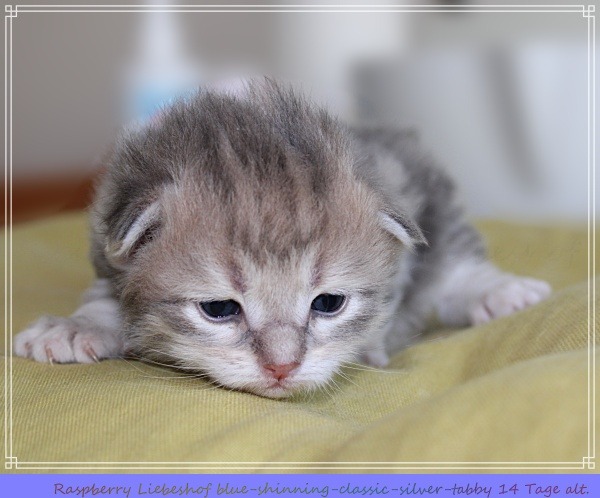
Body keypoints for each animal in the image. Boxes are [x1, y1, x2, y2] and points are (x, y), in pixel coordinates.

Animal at [14, 80, 551, 398]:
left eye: (328, 303)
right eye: (219, 309)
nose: (282, 368)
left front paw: (370, 345)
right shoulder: (107, 241)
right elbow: (104, 296)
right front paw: (76, 327)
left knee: (454, 264)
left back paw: (501, 292)